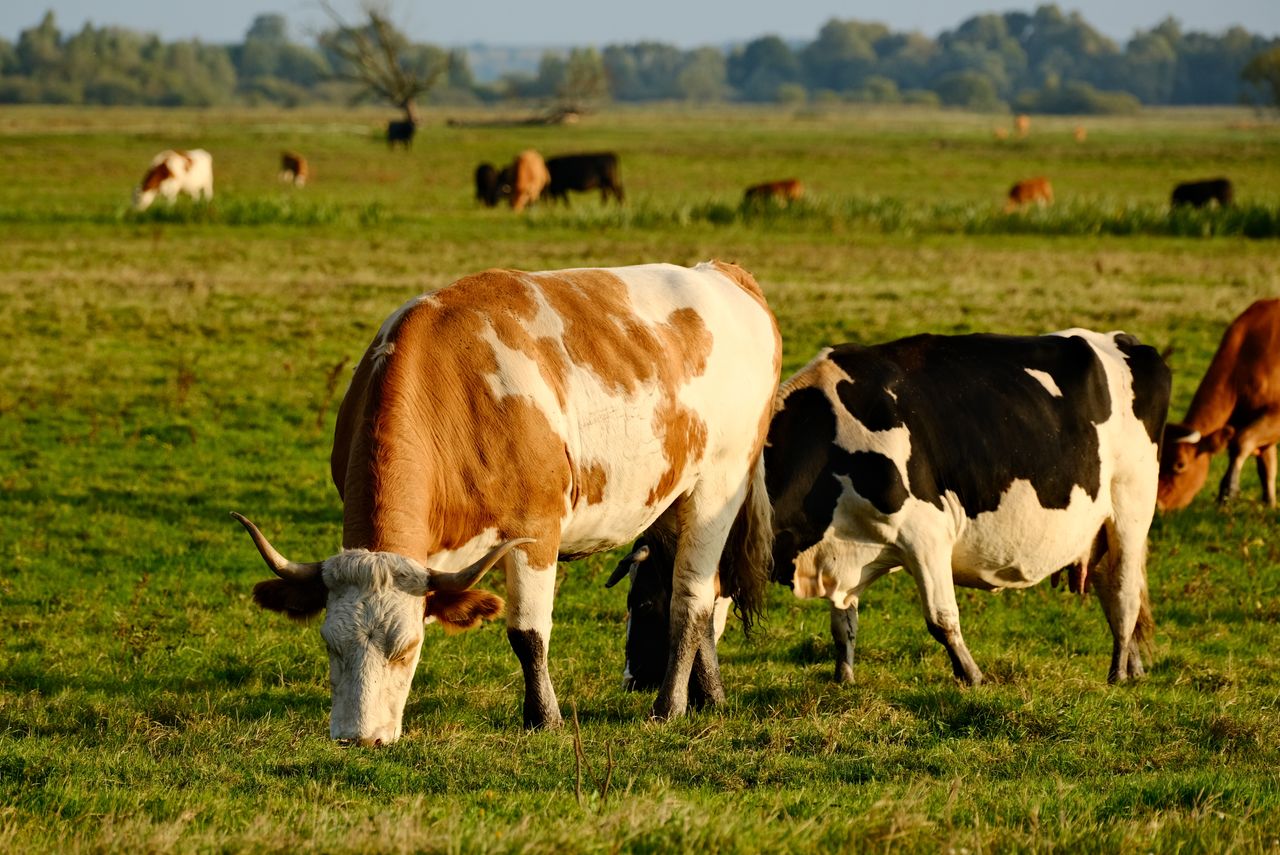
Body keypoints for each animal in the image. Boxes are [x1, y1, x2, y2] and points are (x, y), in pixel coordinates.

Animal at [234, 260, 781, 744]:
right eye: (329, 646)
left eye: (407, 649)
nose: (357, 738)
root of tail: (723, 274)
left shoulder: (536, 528)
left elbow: (527, 633)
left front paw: (544, 718)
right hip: (670, 501)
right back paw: (710, 697)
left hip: (718, 488)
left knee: (690, 599)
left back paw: (669, 707)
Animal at [615, 330, 1171, 690]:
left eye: (646, 602)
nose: (632, 680)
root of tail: (1127, 342)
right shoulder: (846, 551)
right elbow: (843, 625)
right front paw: (844, 678)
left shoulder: (927, 533)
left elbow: (942, 619)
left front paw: (973, 676)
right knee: (1113, 587)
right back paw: (1135, 667)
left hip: (1131, 505)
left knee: (1124, 591)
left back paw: (1118, 673)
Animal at [1157, 299, 1280, 510]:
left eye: (1180, 464)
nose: (1157, 505)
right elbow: (1267, 467)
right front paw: (1270, 503)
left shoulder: (1275, 416)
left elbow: (1241, 441)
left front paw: (1228, 491)